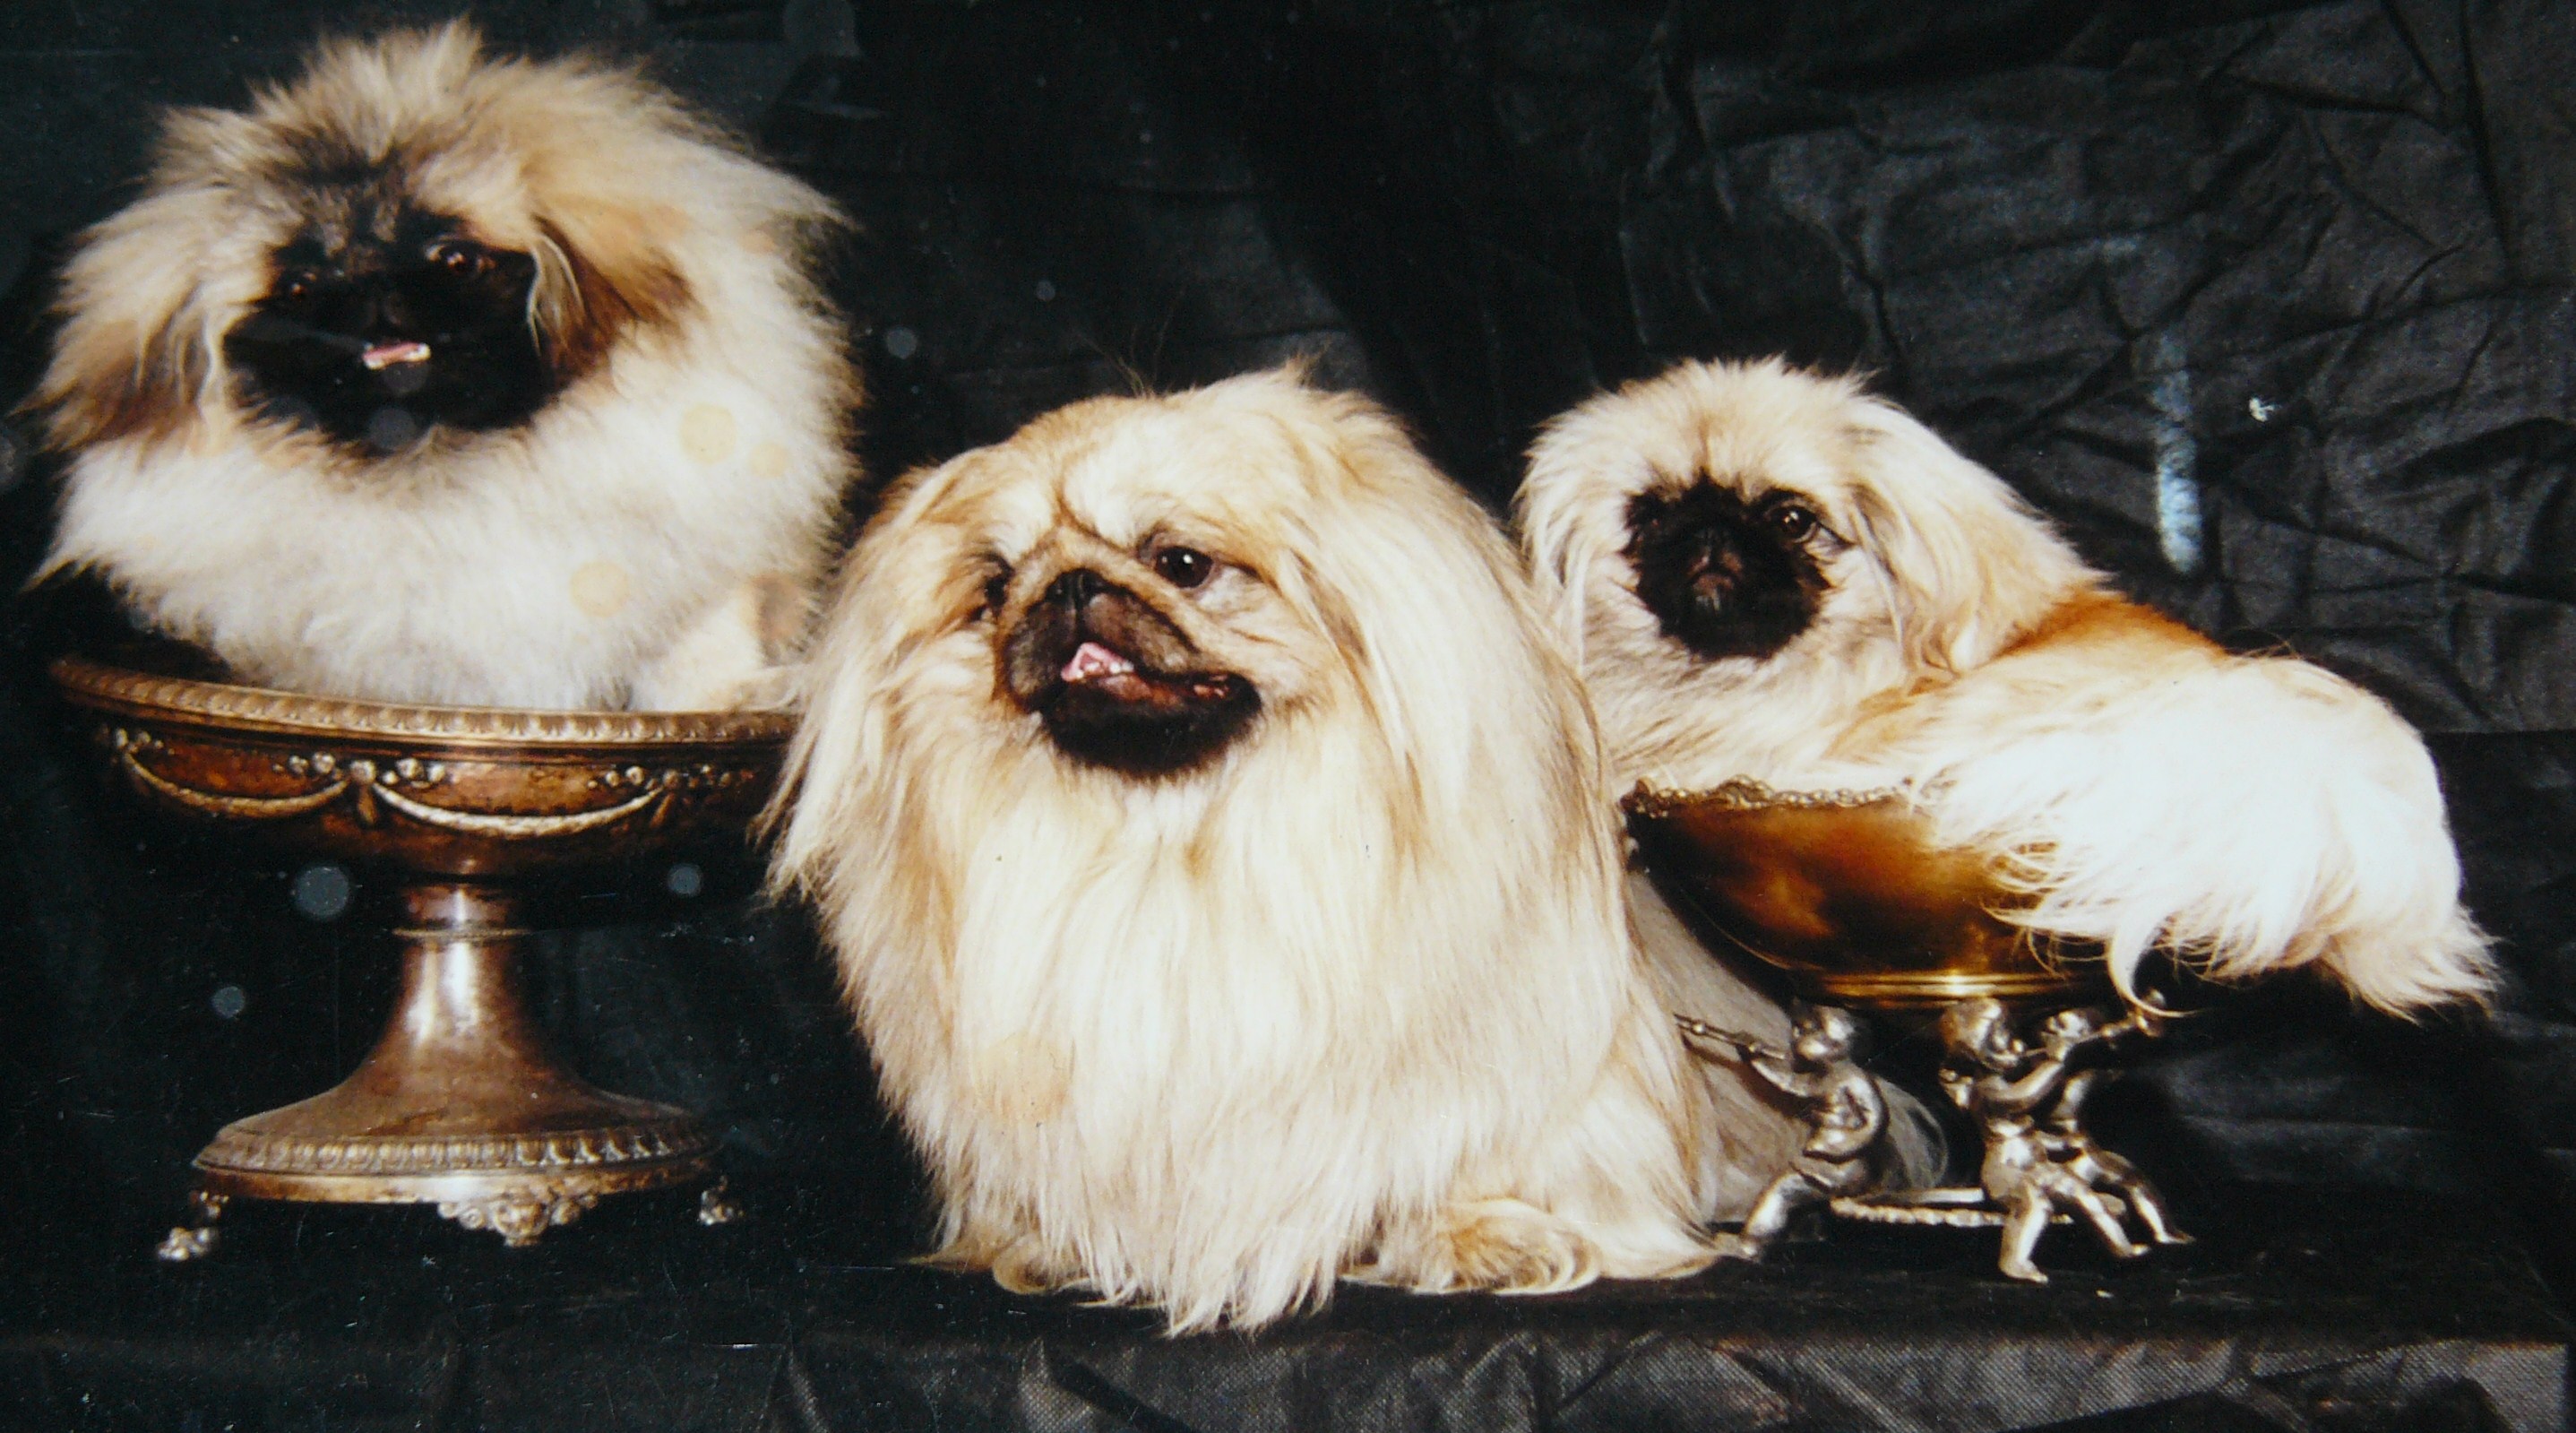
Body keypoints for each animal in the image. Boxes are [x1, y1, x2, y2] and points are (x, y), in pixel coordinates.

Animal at [30, 23, 855, 709]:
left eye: (453, 259)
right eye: (300, 288)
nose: (371, 287)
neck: (438, 466)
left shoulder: (709, 579)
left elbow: (697, 652)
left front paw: (735, 696)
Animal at [770, 368, 1802, 1331]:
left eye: (1180, 562)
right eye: (993, 589)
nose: (1067, 585)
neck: (1173, 838)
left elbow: (1478, 1144)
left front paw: (1476, 1232)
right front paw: (1051, 1243)